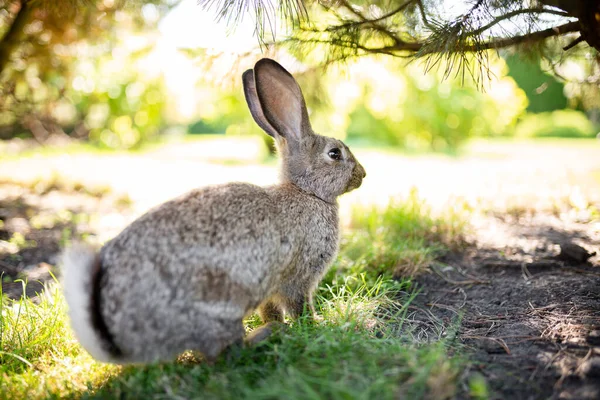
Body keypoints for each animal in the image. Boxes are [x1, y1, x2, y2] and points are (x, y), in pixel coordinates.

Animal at [62, 57, 366, 364]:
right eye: (335, 154)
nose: (362, 175)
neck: (306, 192)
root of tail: (119, 342)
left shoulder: (270, 290)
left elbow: (271, 309)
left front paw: (284, 323)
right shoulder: (297, 278)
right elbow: (298, 307)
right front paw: (314, 327)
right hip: (218, 303)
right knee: (224, 353)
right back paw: (266, 337)